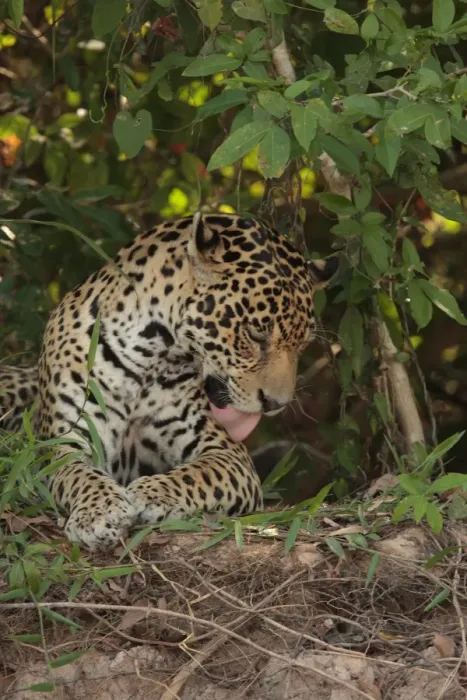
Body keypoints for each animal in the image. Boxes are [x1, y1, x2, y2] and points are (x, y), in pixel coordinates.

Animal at [0, 213, 337, 550]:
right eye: (255, 334)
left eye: (303, 344)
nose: (275, 404)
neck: (150, 353)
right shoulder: (63, 443)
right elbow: (77, 474)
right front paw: (99, 512)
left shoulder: (228, 454)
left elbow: (199, 474)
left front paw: (150, 492)